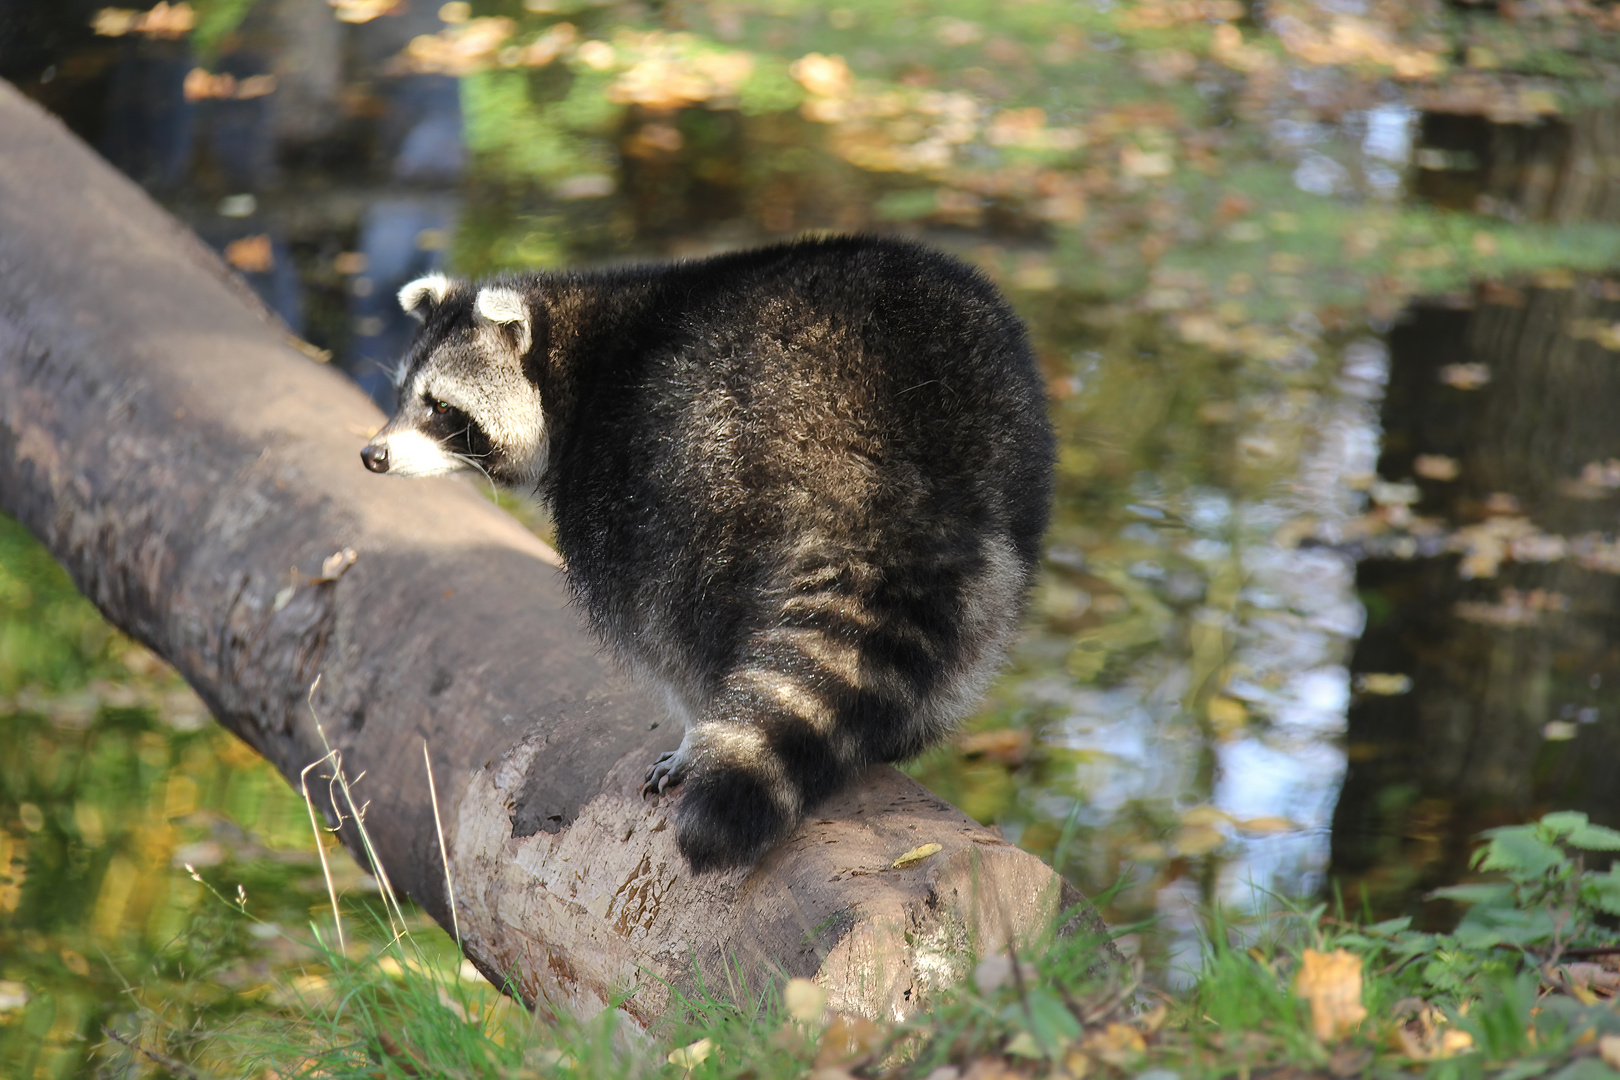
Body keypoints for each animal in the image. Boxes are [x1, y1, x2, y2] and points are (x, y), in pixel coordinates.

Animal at [361, 234, 1056, 867]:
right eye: (401, 397)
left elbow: (649, 621)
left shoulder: (618, 470)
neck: (582, 355)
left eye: (439, 407)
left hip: (718, 457)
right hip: (1006, 475)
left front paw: (696, 725)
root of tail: (893, 450)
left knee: (684, 605)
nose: (374, 455)